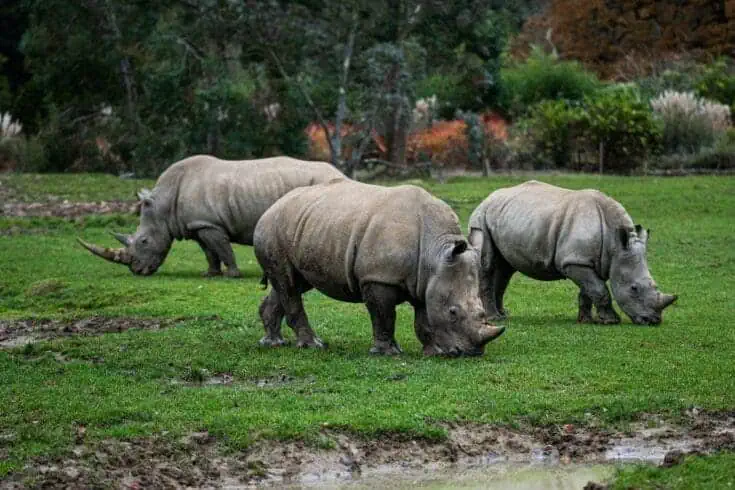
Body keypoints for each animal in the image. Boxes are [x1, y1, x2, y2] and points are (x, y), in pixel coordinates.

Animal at [78, 155, 344, 277]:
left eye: (143, 241)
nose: (137, 271)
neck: (164, 205)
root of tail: (339, 172)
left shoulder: (211, 224)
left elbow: (223, 249)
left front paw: (233, 275)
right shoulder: (197, 225)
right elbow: (209, 252)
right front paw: (211, 274)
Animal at [254, 179, 506, 356]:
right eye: (453, 312)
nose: (472, 353)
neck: (435, 253)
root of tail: (272, 206)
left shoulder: (425, 281)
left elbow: (424, 318)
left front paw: (435, 351)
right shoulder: (378, 277)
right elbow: (384, 315)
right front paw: (388, 353)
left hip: (305, 226)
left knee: (292, 284)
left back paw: (273, 343)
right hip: (272, 228)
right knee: (288, 284)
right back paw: (312, 346)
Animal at [468, 181, 677, 325]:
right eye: (634, 288)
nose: (653, 320)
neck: (616, 245)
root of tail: (488, 197)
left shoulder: (584, 260)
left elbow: (589, 290)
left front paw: (586, 320)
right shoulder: (574, 261)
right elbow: (600, 290)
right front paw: (611, 321)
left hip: (506, 217)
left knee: (505, 268)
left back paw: (503, 315)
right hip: (481, 218)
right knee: (488, 263)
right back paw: (494, 318)